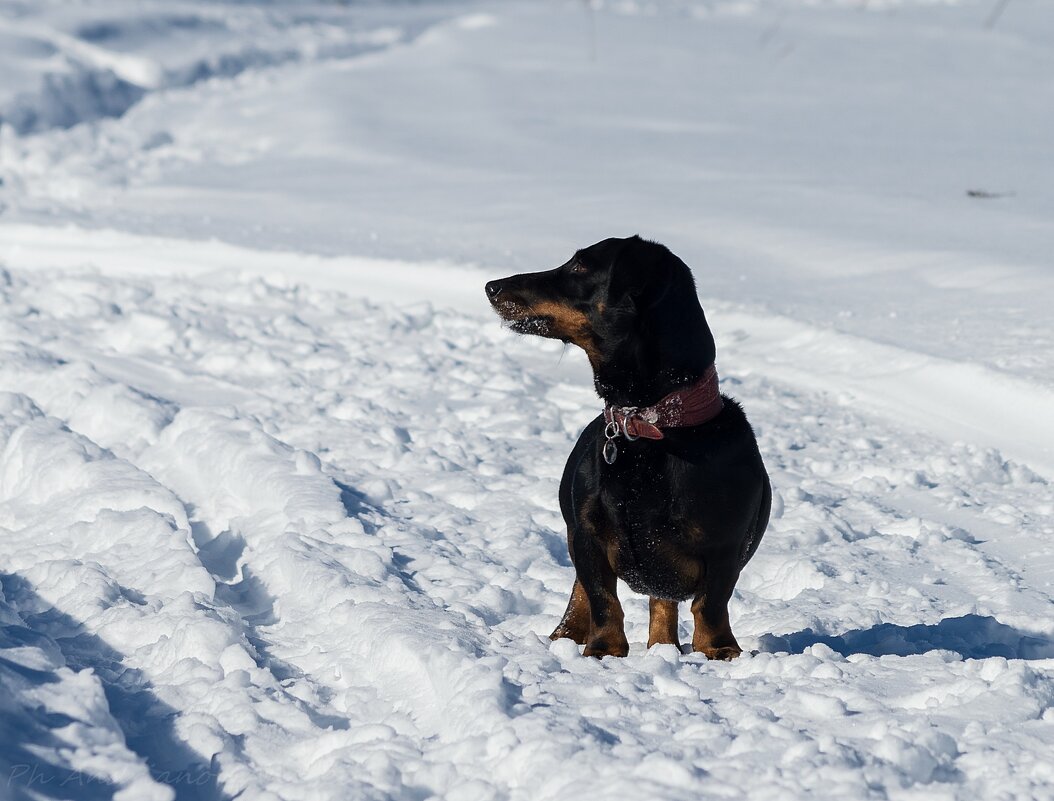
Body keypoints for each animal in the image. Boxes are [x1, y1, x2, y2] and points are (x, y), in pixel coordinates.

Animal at [486, 236, 775, 657]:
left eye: (580, 266)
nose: (491, 287)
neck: (652, 425)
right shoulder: (586, 536)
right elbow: (602, 598)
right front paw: (604, 649)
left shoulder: (725, 549)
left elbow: (709, 605)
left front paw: (718, 650)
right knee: (583, 593)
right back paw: (566, 635)